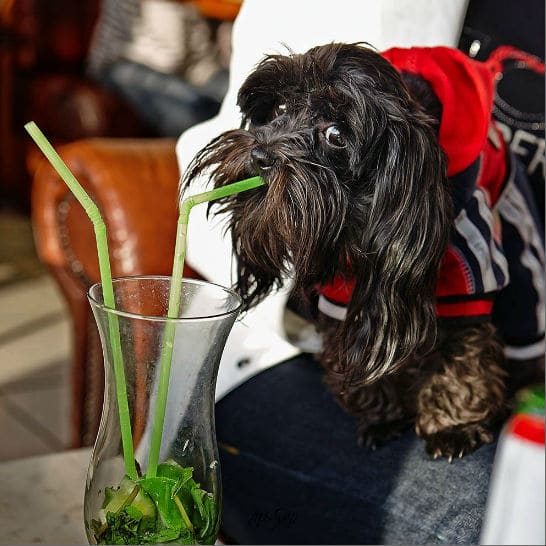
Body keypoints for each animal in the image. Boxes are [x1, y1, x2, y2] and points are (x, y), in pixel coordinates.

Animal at [181, 43, 540, 460]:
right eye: (280, 107)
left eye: (335, 134)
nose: (260, 157)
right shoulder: (342, 287)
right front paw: (382, 414)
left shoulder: (466, 275)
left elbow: (461, 350)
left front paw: (453, 425)